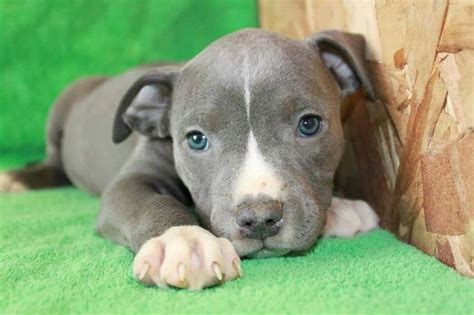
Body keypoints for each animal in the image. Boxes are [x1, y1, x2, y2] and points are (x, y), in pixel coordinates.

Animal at [0, 29, 378, 292]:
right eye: (196, 139)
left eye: (309, 124)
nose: (259, 219)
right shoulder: (131, 182)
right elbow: (152, 204)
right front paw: (184, 242)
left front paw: (340, 208)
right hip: (62, 105)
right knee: (54, 162)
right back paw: (18, 178)